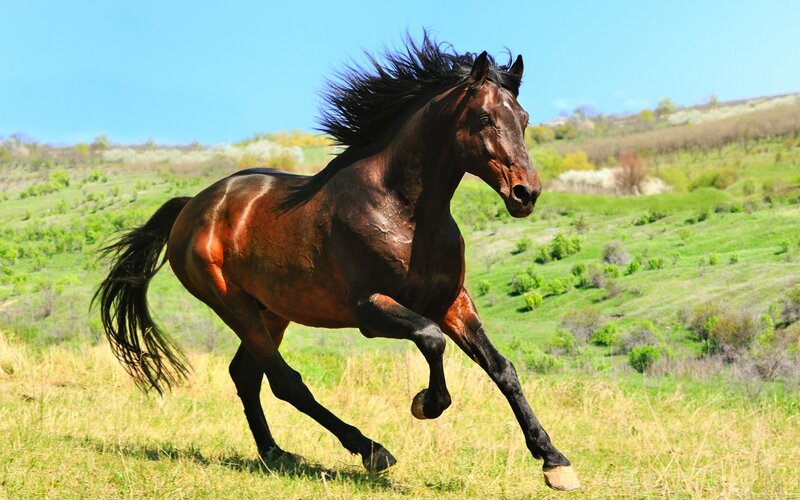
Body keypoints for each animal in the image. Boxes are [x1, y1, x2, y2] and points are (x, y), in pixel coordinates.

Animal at [94, 36, 579, 491]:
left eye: (524, 119)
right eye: (483, 118)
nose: (525, 193)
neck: (405, 212)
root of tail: (193, 206)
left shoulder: (452, 301)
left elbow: (501, 368)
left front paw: (555, 463)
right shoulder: (370, 309)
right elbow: (431, 339)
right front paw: (424, 404)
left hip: (272, 310)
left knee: (247, 375)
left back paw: (275, 453)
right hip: (233, 305)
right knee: (285, 381)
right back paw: (370, 450)